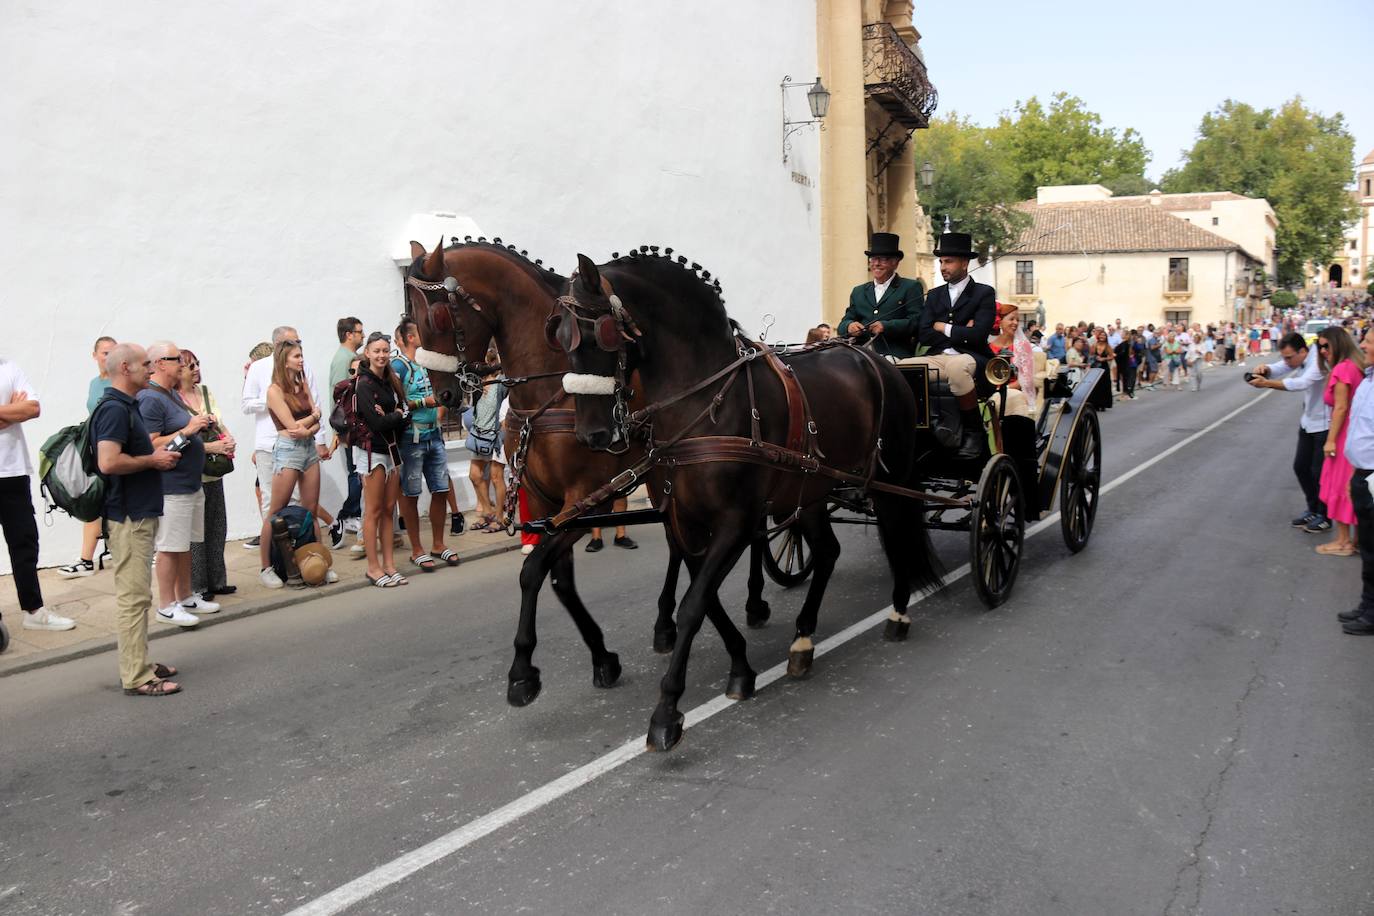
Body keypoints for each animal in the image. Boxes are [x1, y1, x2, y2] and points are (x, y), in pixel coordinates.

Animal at [403, 240, 774, 708]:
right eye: (409, 317)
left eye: (434, 316)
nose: (445, 395)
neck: (551, 392)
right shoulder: (546, 503)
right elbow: (557, 579)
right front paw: (599, 656)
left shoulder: (586, 497)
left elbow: (534, 570)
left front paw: (523, 668)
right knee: (680, 545)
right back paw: (666, 623)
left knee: (751, 529)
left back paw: (755, 600)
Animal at [549, 251, 945, 752]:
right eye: (559, 334)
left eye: (599, 334)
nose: (592, 435)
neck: (703, 404)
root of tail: (877, 359)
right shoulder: (686, 523)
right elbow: (705, 599)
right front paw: (739, 666)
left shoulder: (736, 522)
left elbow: (694, 604)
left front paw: (666, 712)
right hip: (809, 492)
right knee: (828, 551)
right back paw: (803, 639)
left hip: (888, 479)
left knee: (896, 534)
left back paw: (898, 611)